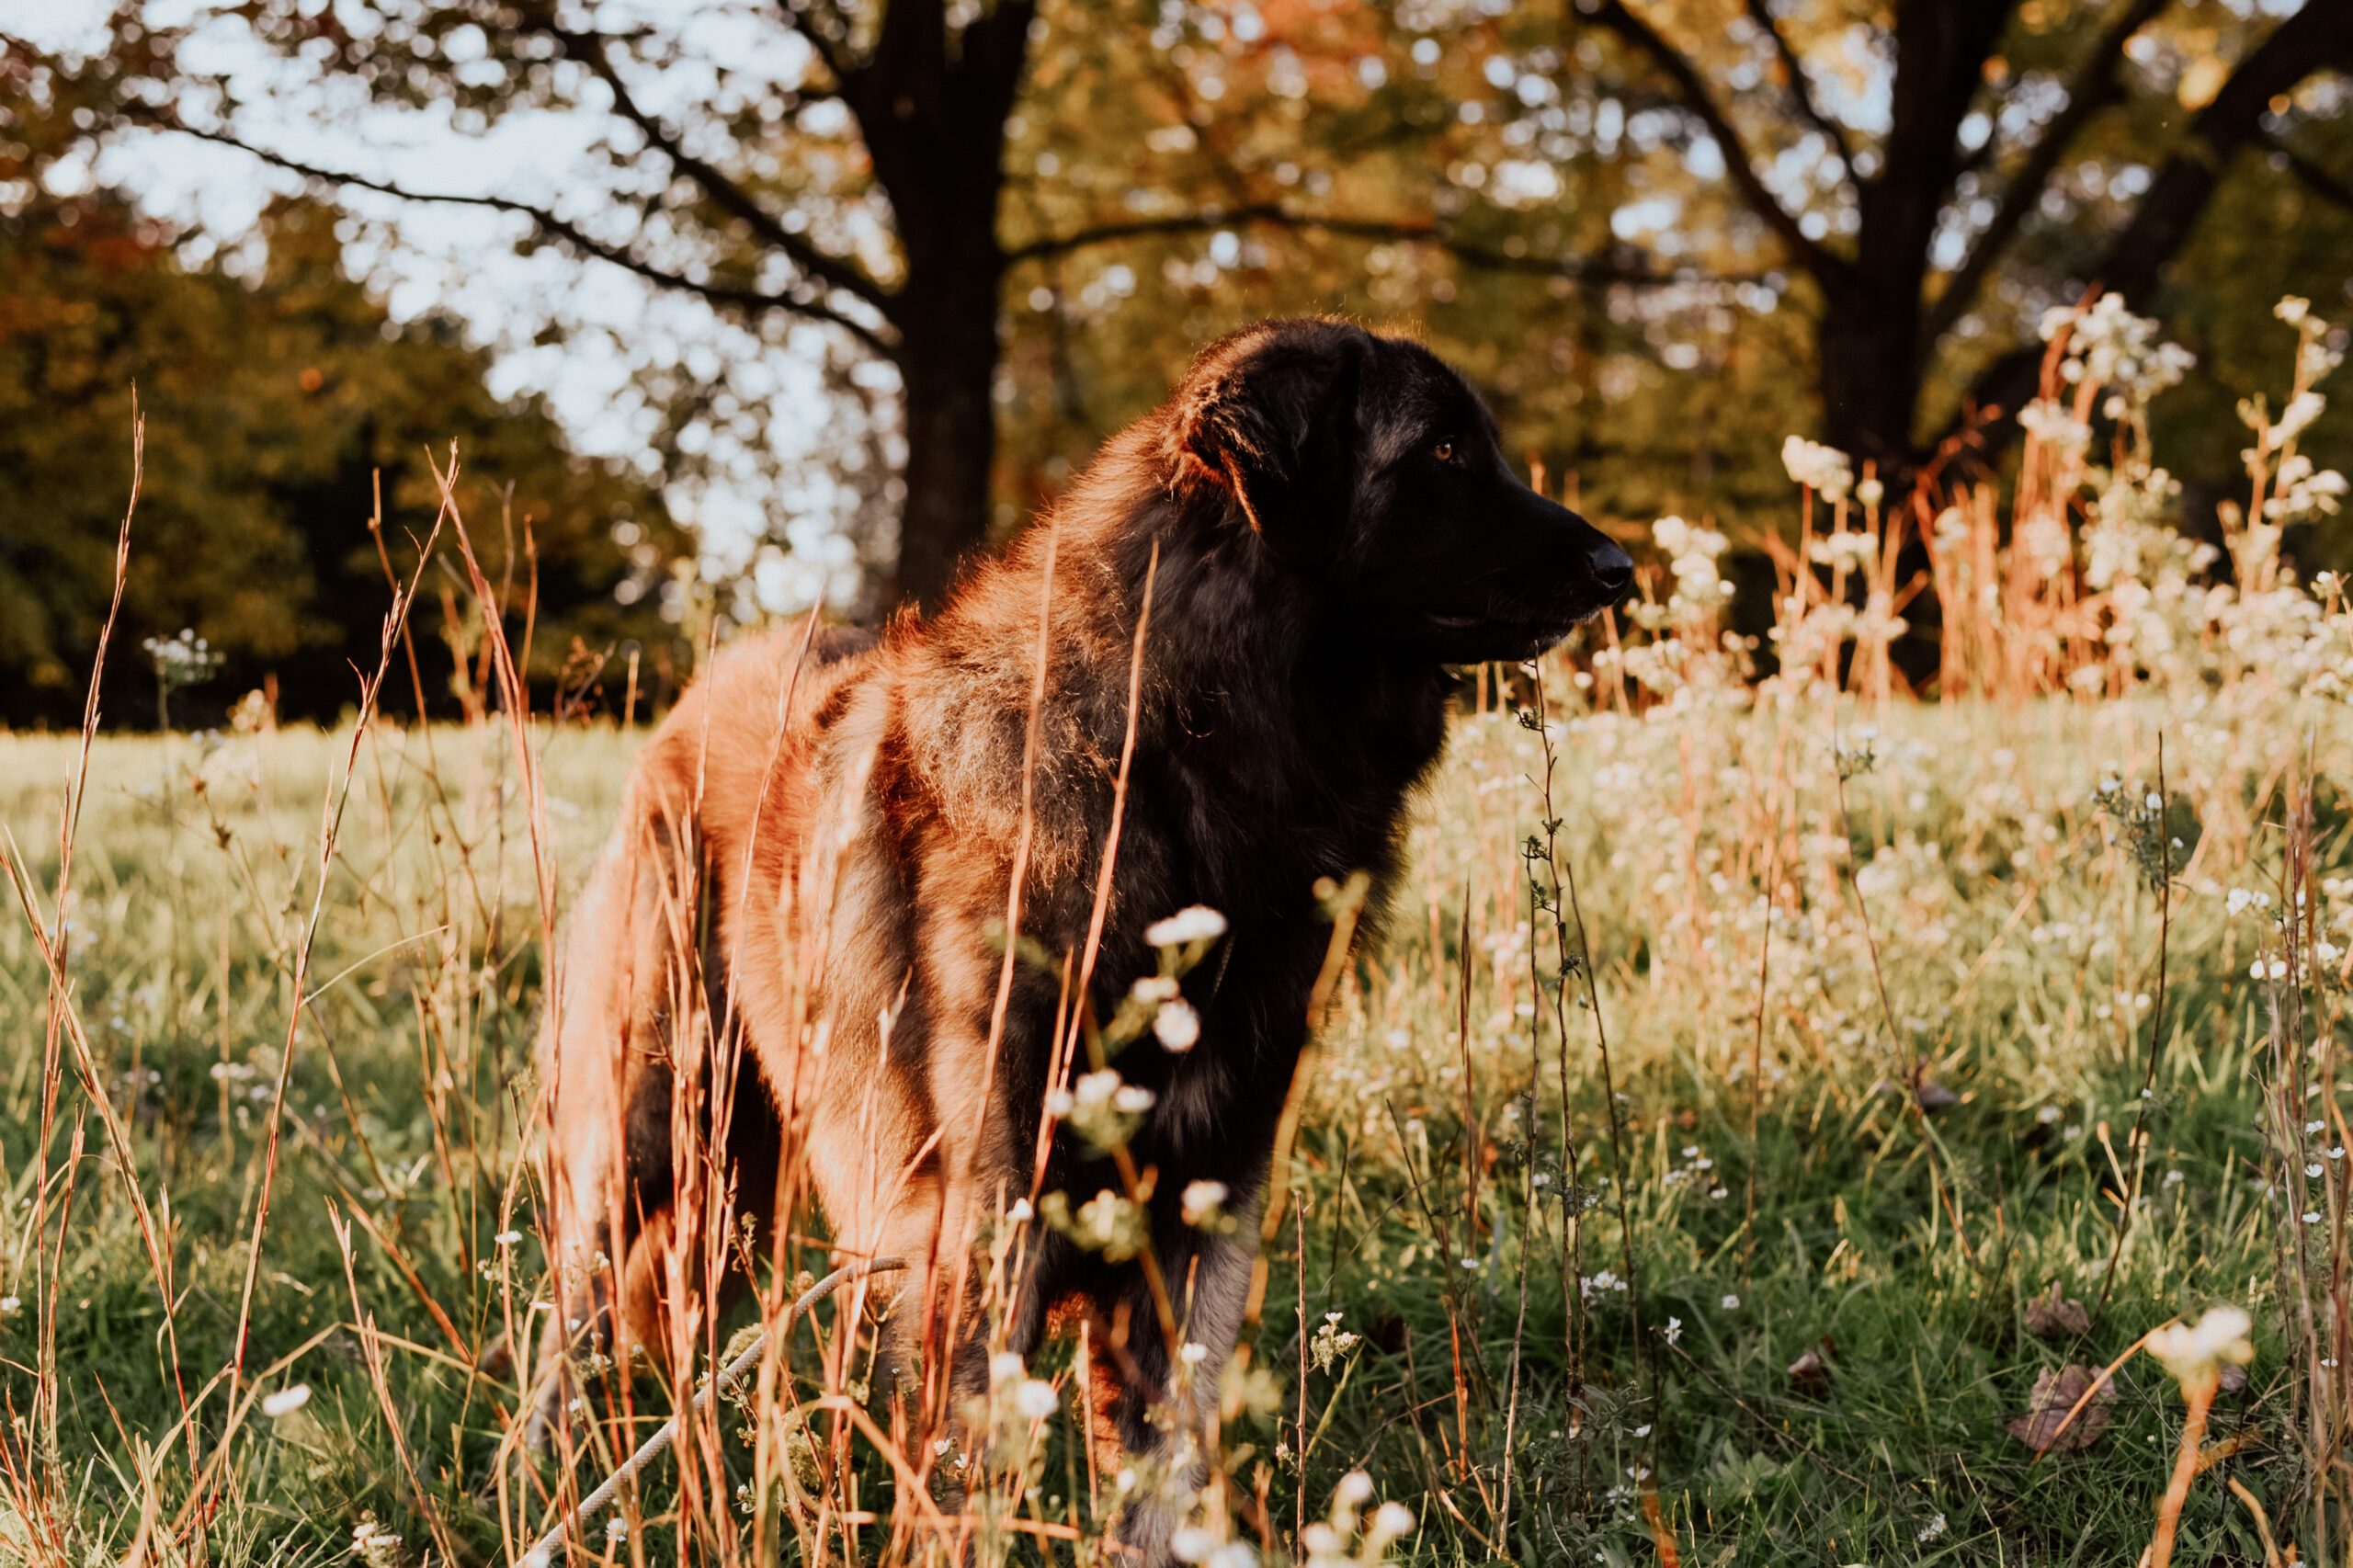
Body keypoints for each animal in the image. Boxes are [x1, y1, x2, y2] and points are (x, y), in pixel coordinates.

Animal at [539, 315, 1628, 1553]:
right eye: (1442, 452)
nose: (1619, 570)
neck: (1172, 753)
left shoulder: (1201, 1222)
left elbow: (1154, 1499)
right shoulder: (985, 1233)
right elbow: (961, 1501)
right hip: (648, 1132)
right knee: (566, 1339)